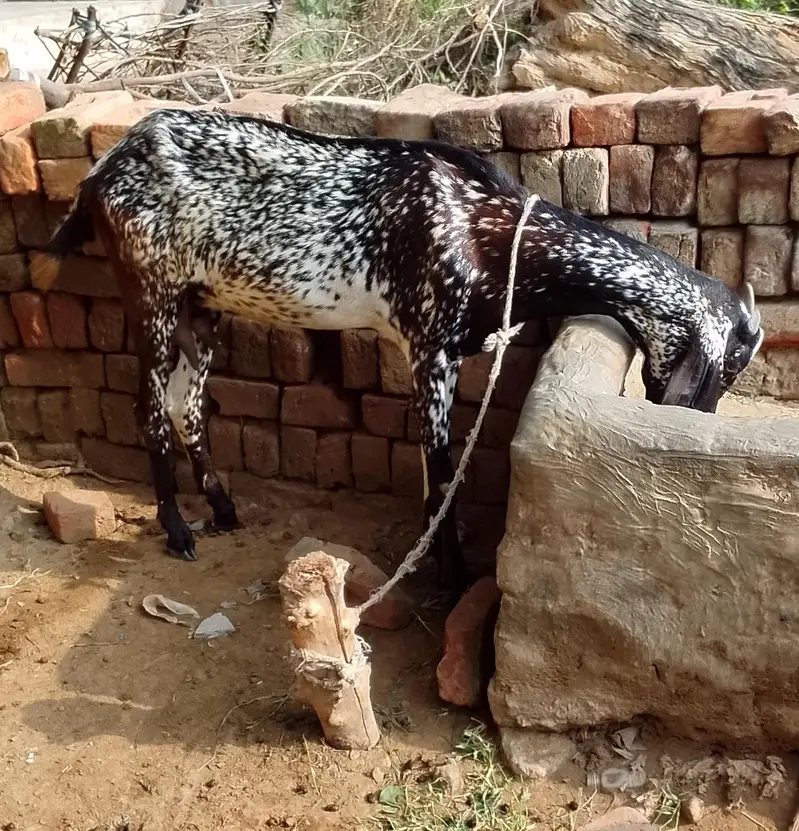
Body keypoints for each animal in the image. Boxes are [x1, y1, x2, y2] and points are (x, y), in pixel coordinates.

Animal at [40, 107, 764, 594]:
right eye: (727, 367)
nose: (696, 421)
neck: (488, 232)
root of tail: (101, 171)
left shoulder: (443, 354)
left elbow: (431, 468)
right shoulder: (429, 347)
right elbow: (442, 469)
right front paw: (451, 576)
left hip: (201, 304)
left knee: (186, 404)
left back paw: (221, 509)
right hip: (151, 291)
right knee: (150, 409)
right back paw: (177, 529)